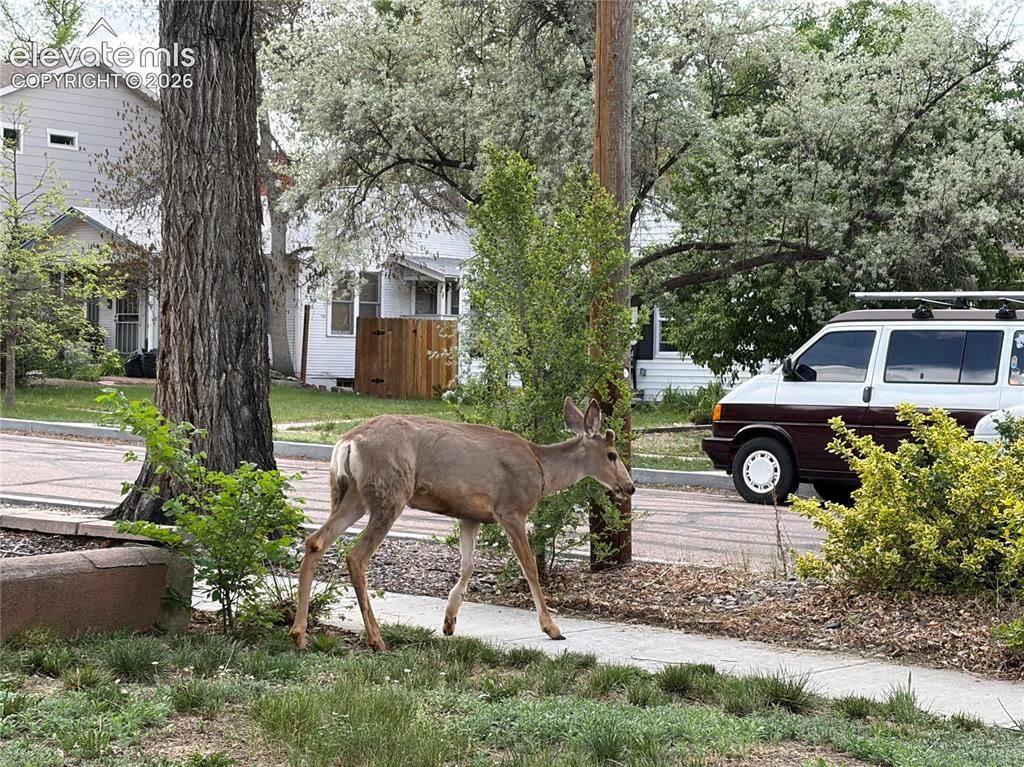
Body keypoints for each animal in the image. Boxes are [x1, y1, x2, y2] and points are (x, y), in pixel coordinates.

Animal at [289, 396, 635, 651]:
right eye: (612, 454)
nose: (629, 487)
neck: (543, 471)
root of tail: (347, 443)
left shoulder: (470, 515)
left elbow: (468, 565)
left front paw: (449, 622)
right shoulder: (511, 509)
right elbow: (530, 568)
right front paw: (551, 627)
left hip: (352, 494)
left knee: (316, 541)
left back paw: (299, 634)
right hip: (391, 492)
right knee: (355, 556)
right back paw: (376, 639)